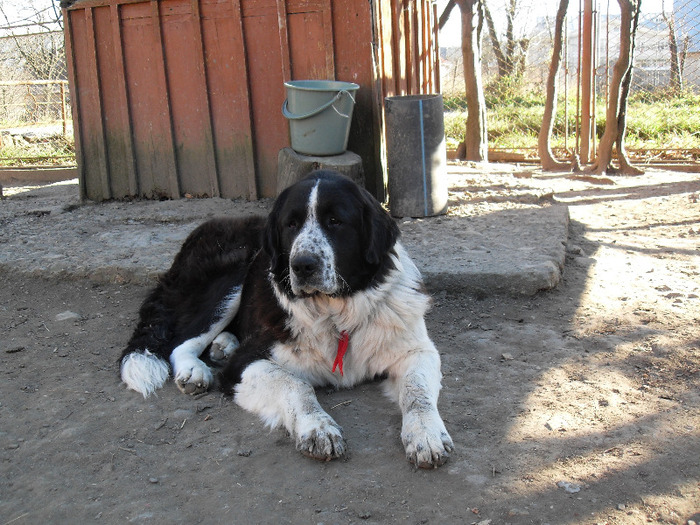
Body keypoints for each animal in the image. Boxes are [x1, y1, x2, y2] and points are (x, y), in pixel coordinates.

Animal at [120, 169, 454, 466]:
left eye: (335, 222)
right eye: (291, 224)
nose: (302, 264)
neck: (336, 315)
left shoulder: (417, 351)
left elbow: (417, 392)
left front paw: (426, 435)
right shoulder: (245, 365)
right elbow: (295, 384)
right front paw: (318, 428)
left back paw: (223, 345)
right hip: (232, 275)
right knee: (182, 341)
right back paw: (194, 370)